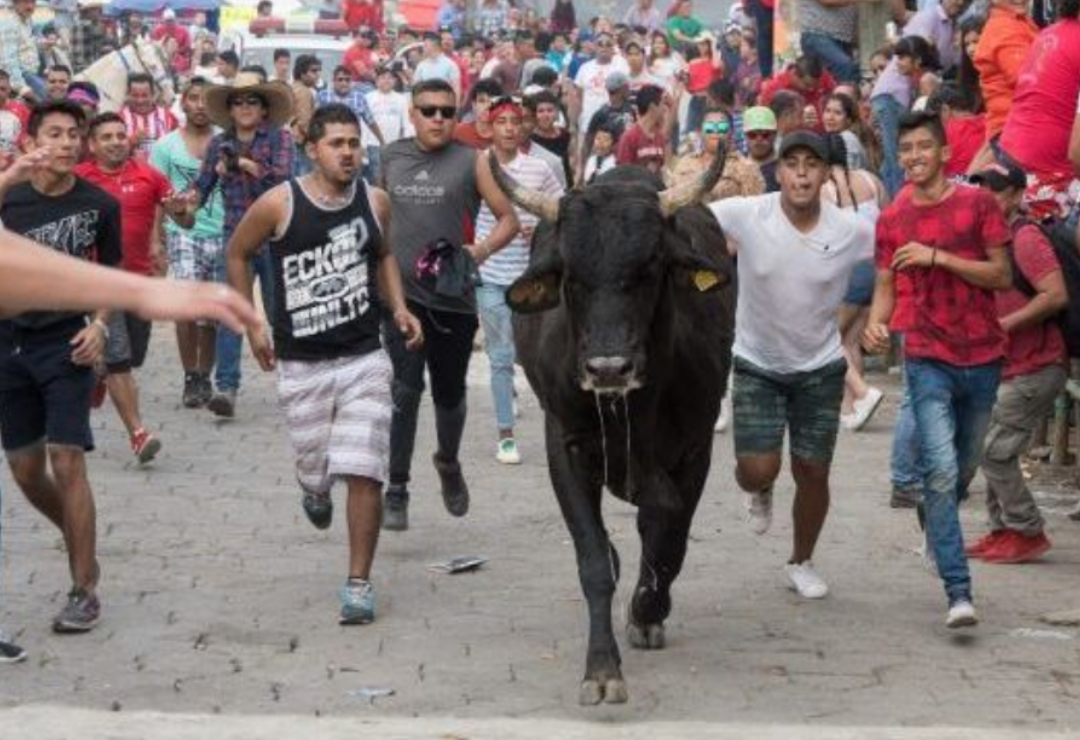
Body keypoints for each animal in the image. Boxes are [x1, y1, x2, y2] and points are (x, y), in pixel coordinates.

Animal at [492, 153, 738, 700]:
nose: (608, 368)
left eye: (649, 269)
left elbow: (668, 539)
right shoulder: (565, 447)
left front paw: (646, 611)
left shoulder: (694, 452)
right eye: (571, 276)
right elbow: (594, 561)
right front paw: (602, 668)